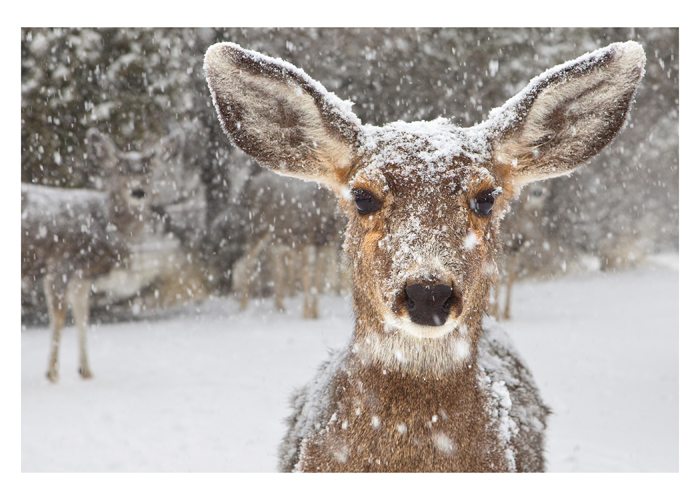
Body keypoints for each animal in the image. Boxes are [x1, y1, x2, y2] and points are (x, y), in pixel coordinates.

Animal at [21, 129, 175, 382]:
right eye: (120, 170)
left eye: (148, 171)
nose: (138, 191)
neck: (102, 222)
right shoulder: (60, 264)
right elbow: (59, 316)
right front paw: (52, 373)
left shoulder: (83, 275)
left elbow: (83, 315)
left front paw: (86, 371)